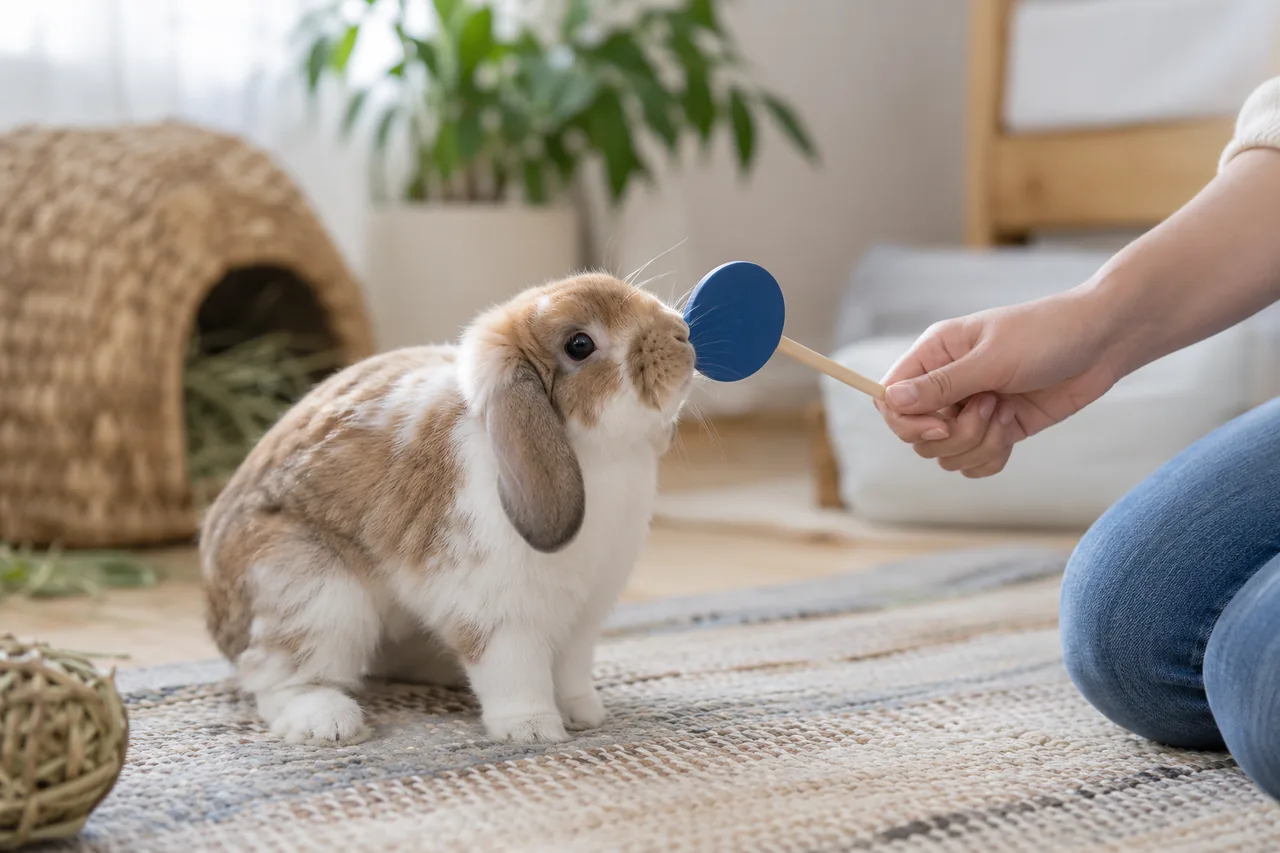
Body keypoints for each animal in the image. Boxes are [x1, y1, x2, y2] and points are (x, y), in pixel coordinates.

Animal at [199, 272, 696, 746]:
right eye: (580, 344)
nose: (682, 334)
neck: (599, 454)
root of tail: (218, 617)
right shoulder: (497, 612)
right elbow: (514, 672)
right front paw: (532, 729)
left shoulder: (583, 617)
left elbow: (571, 670)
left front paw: (585, 715)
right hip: (312, 594)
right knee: (275, 679)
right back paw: (329, 723)